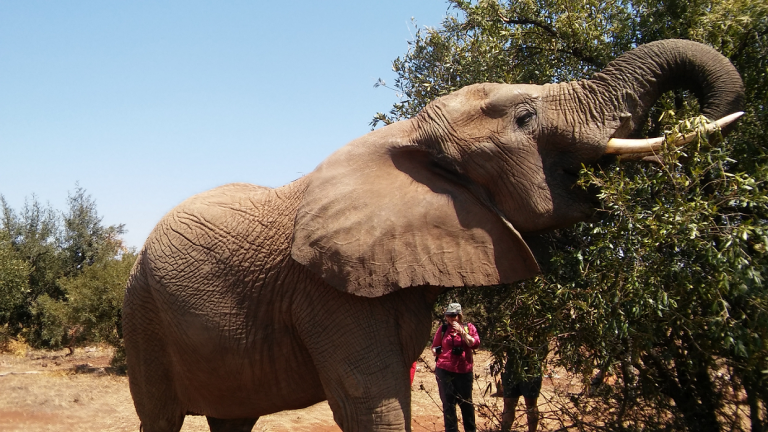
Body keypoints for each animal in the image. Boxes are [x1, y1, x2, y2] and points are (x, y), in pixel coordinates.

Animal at [123, 39, 744, 432]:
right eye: (524, 119)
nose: (691, 120)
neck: (409, 137)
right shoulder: (326, 292)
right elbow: (371, 407)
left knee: (232, 419)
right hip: (143, 316)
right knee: (161, 417)